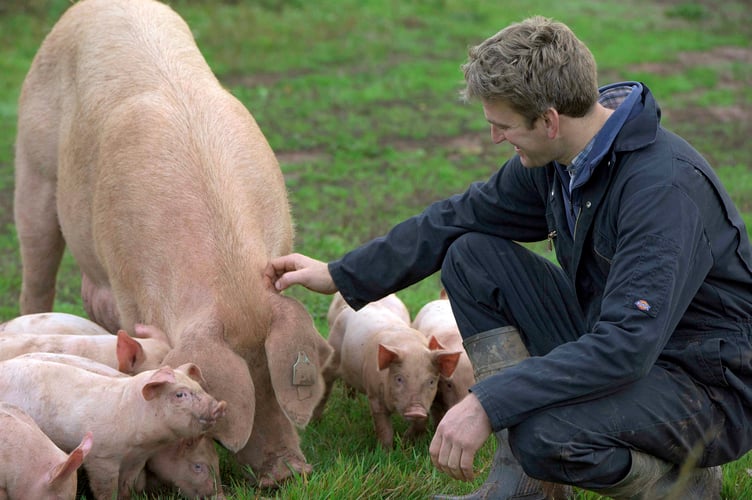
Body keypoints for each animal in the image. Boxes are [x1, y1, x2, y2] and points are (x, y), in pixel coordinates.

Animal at [0, 355, 226, 500]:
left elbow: (126, 487)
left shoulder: (137, 460)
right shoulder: (101, 457)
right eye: (180, 394)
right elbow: (106, 490)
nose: (220, 406)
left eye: (199, 388)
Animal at [317, 292, 461, 449]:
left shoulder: (427, 403)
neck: (409, 345)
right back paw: (316, 422)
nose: (416, 410)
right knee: (325, 386)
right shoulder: (374, 394)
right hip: (333, 354)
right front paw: (386, 451)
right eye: (399, 378)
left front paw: (405, 443)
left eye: (431, 381)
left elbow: (421, 422)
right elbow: (383, 427)